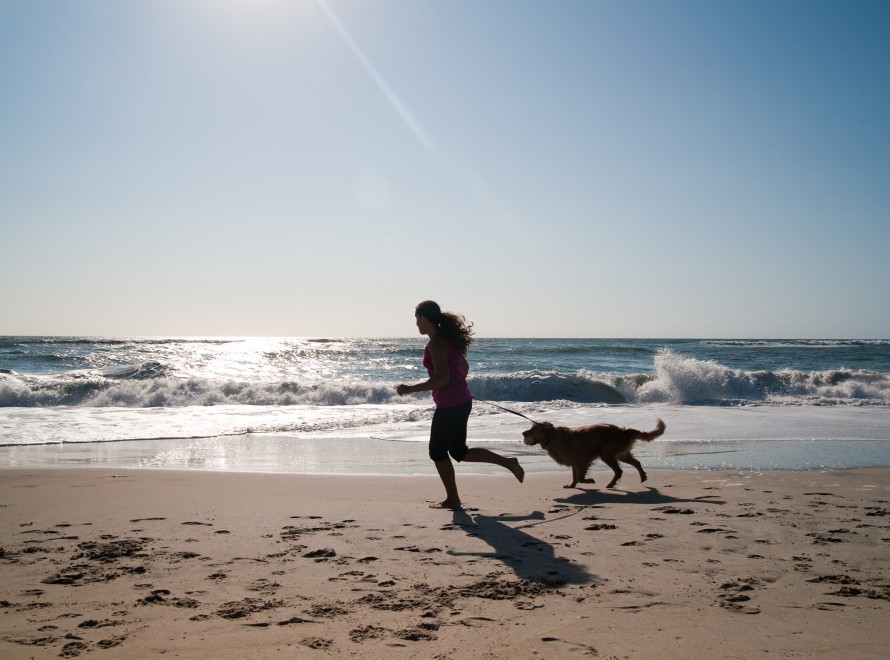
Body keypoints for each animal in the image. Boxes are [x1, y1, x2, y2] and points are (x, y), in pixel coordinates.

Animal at [524, 420, 664, 488]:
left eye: (534, 429)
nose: (523, 433)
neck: (552, 437)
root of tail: (623, 431)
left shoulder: (582, 461)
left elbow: (580, 477)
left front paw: (589, 481)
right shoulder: (574, 462)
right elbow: (575, 477)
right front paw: (571, 485)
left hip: (607, 454)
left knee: (619, 471)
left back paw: (611, 484)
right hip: (620, 454)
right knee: (636, 462)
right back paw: (642, 477)